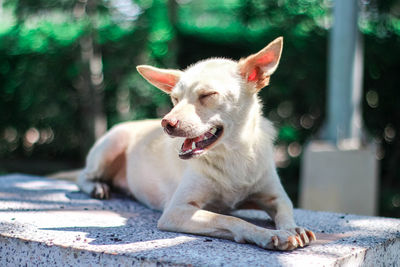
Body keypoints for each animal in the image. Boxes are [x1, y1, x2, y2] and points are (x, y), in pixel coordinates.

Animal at [77, 37, 316, 251]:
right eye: (175, 99)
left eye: (208, 94)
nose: (166, 123)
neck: (233, 156)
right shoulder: (176, 210)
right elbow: (230, 219)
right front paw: (268, 235)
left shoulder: (276, 197)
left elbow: (286, 211)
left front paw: (293, 229)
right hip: (111, 146)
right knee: (83, 175)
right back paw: (97, 187)